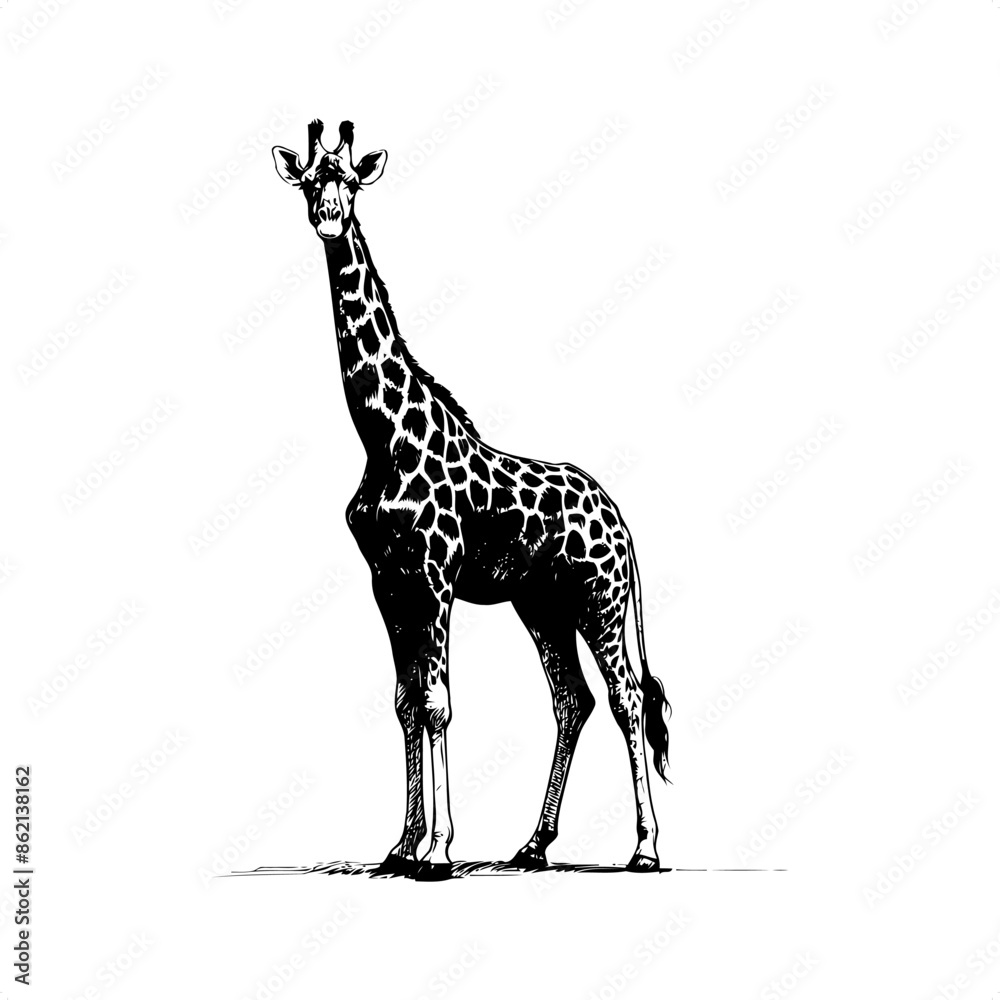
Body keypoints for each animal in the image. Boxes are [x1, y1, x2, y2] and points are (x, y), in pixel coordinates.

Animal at [272, 120, 672, 879]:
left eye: (352, 182)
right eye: (309, 181)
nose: (328, 219)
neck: (381, 437)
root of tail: (623, 519)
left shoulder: (434, 576)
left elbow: (437, 704)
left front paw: (437, 850)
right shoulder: (388, 581)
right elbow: (405, 703)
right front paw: (400, 847)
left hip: (599, 597)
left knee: (627, 698)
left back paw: (645, 847)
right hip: (542, 601)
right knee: (572, 699)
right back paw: (533, 845)